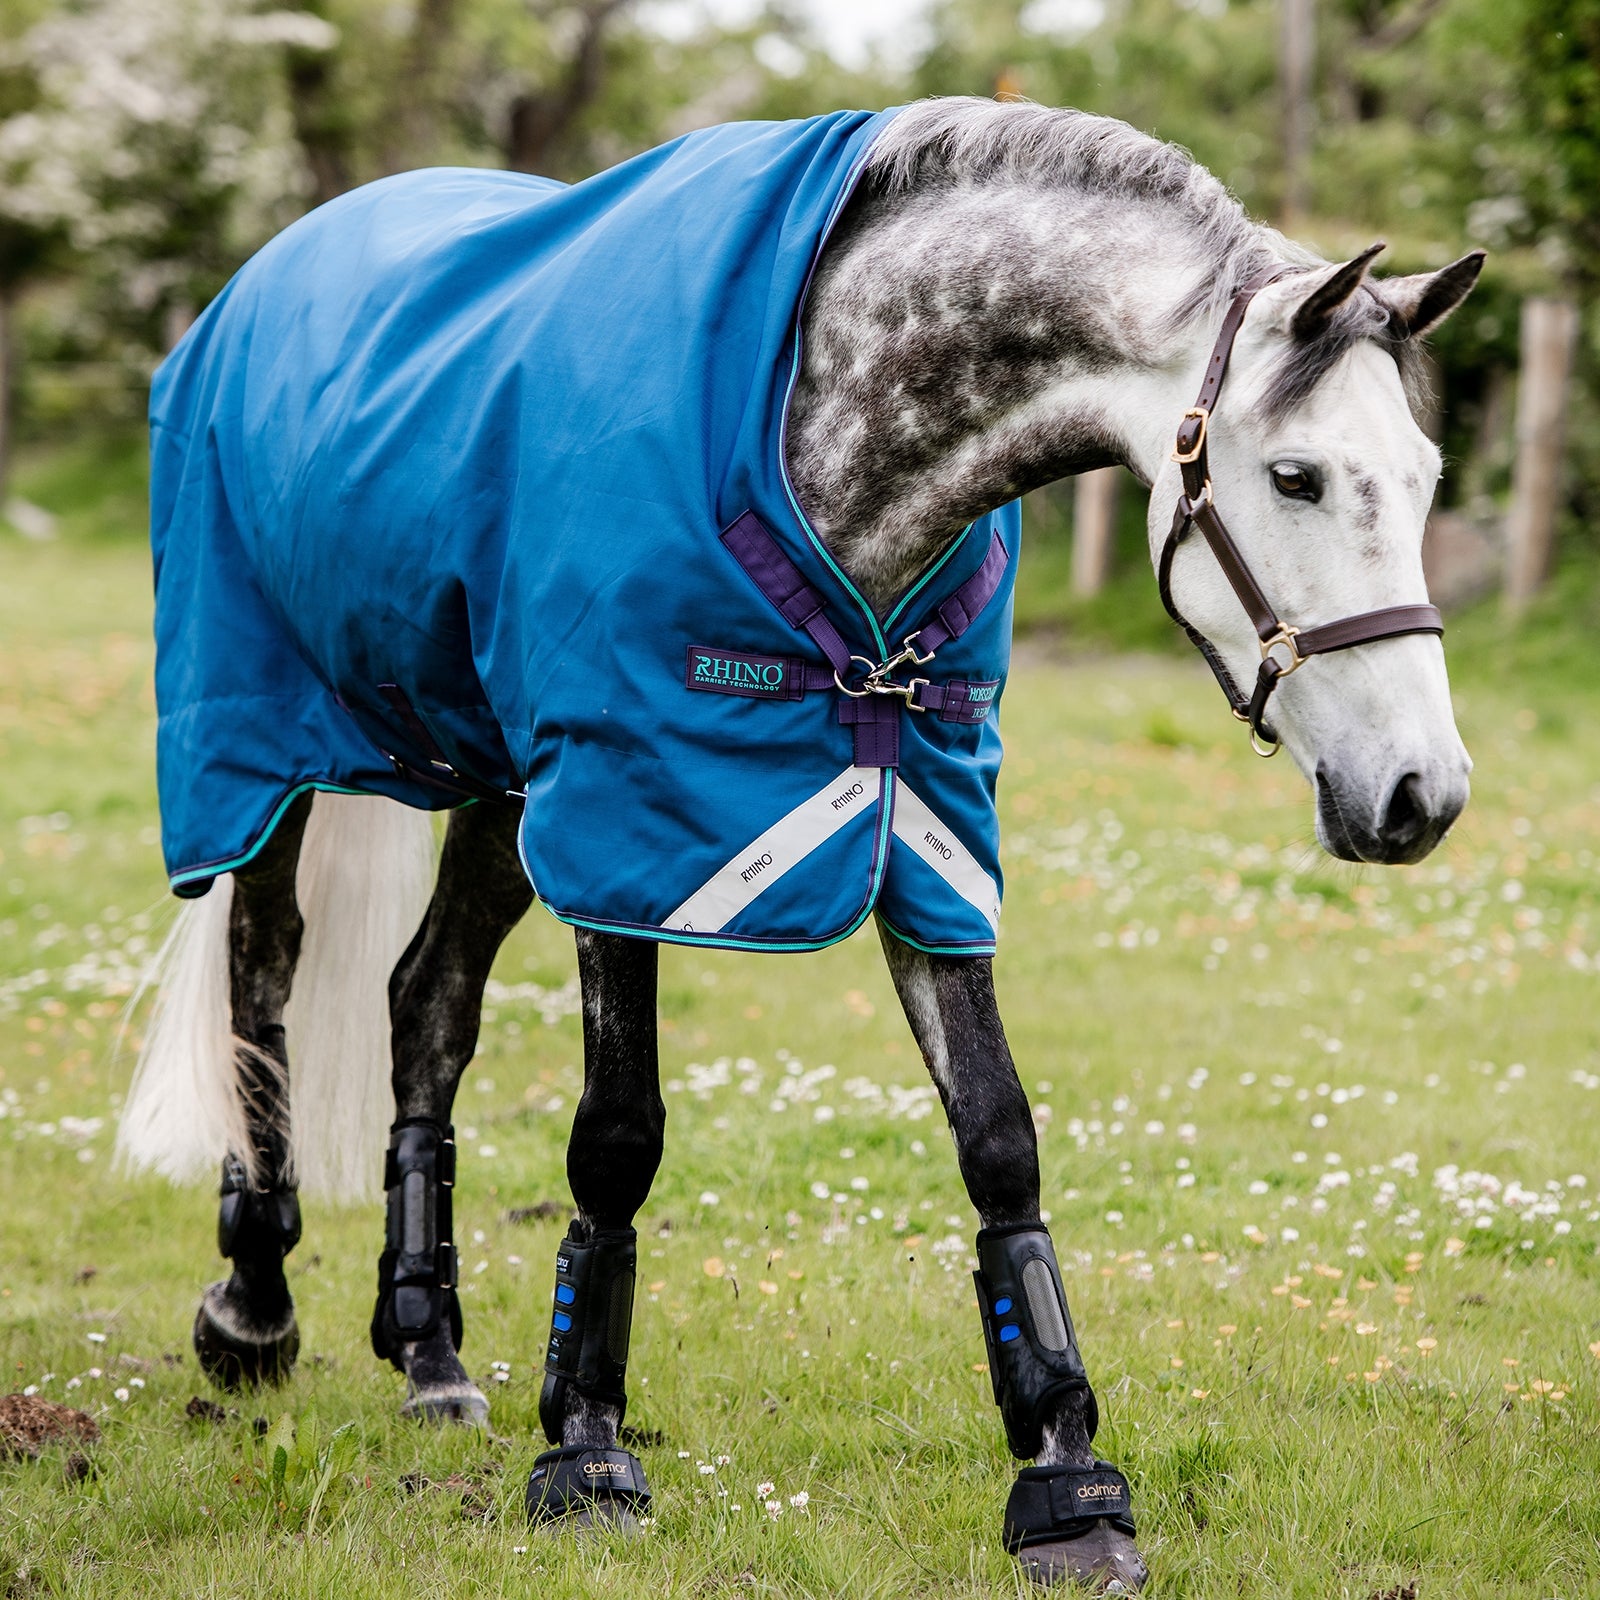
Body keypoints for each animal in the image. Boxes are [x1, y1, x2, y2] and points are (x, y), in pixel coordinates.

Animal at [118, 96, 1480, 1592]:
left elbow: (999, 1138)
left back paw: (428, 1349)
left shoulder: (924, 825)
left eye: (1424, 478)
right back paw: (253, 1310)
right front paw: (585, 1453)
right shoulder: (629, 822)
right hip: (265, 748)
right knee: (262, 979)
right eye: (1295, 476)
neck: (821, 423)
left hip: (501, 783)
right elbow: (617, 1136)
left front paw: (1067, 1481)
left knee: (427, 1000)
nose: (1420, 793)